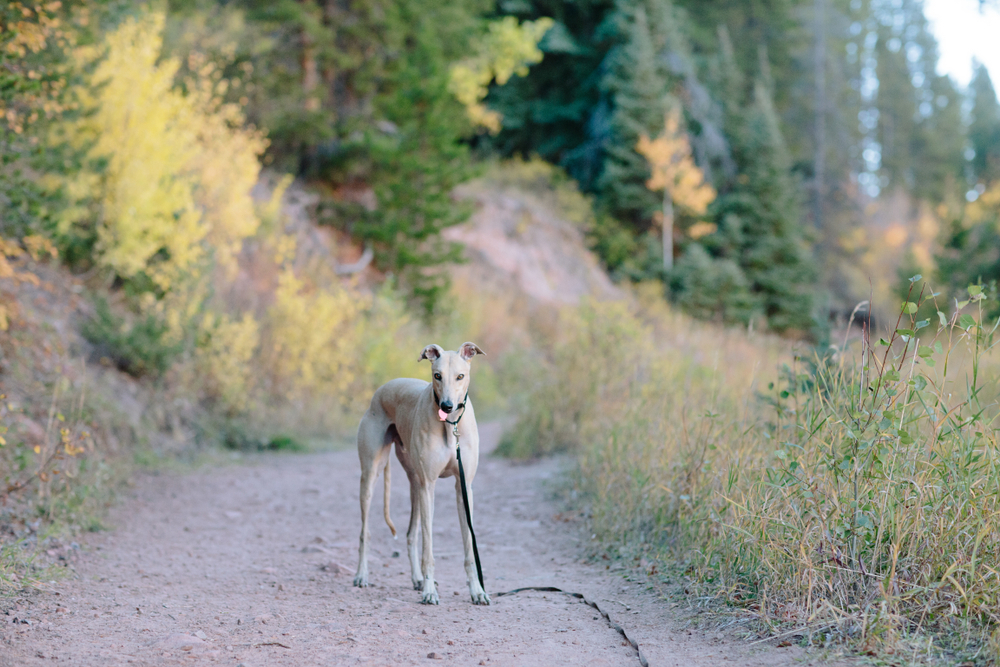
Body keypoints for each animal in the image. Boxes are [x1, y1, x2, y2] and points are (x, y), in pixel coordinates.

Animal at [354, 342, 490, 608]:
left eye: (460, 376)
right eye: (437, 375)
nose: (447, 406)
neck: (451, 426)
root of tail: (383, 388)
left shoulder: (463, 487)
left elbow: (469, 547)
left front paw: (477, 591)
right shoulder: (430, 485)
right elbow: (429, 549)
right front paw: (430, 592)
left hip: (415, 483)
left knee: (410, 534)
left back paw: (416, 579)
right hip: (373, 475)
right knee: (365, 532)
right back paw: (362, 575)